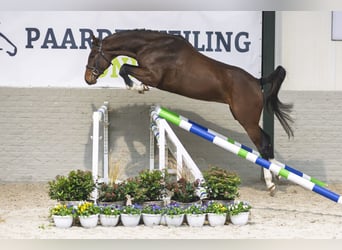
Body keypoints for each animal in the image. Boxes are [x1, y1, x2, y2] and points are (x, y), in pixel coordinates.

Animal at [85, 29, 294, 195]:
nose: (88, 79)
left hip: (247, 120)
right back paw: (277, 175)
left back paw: (270, 183)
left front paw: (138, 87)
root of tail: (256, 82)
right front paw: (139, 87)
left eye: (93, 55)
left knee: (262, 143)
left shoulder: (153, 76)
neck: (152, 47)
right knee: (266, 139)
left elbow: (124, 68)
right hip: (245, 119)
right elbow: (126, 68)